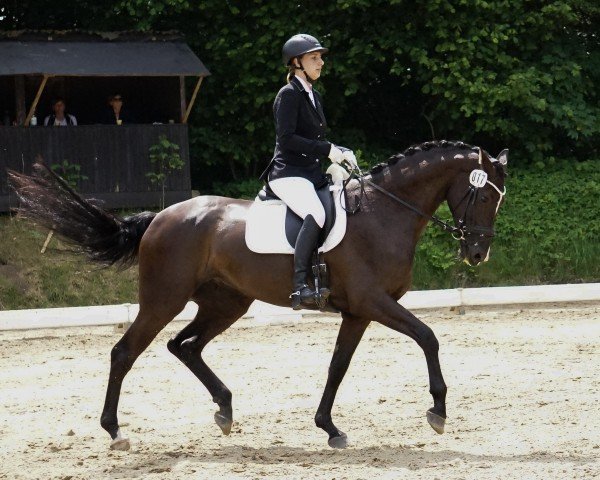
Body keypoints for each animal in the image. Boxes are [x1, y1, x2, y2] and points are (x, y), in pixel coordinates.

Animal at [8, 139, 506, 450]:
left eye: (497, 199)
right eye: (483, 197)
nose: (477, 253)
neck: (384, 212)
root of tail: (160, 217)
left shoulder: (358, 312)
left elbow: (337, 367)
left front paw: (329, 428)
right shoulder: (374, 303)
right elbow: (428, 337)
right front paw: (438, 410)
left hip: (226, 303)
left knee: (183, 346)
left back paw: (225, 409)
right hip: (164, 300)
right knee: (125, 352)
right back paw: (114, 431)